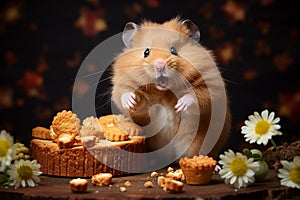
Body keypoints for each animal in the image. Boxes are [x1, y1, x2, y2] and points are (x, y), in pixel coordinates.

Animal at [111, 18, 231, 160]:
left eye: (174, 50)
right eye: (146, 52)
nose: (160, 65)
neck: (164, 91)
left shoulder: (210, 83)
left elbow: (197, 96)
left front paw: (179, 106)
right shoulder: (122, 82)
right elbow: (124, 93)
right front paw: (131, 101)